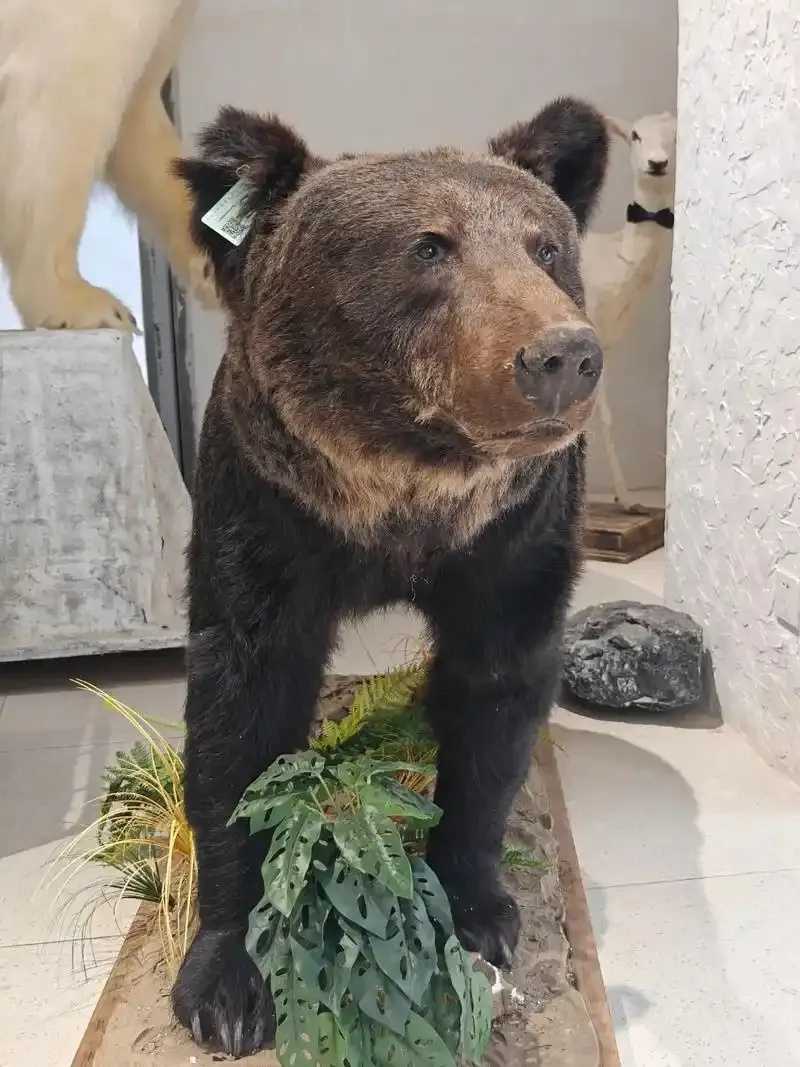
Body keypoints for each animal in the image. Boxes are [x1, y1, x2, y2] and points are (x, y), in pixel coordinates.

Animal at [172, 96, 608, 1056]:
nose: (559, 355)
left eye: (545, 246)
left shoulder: (512, 538)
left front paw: (481, 911)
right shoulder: (263, 518)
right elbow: (239, 714)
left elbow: (495, 702)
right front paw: (225, 983)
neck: (403, 497)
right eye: (428, 246)